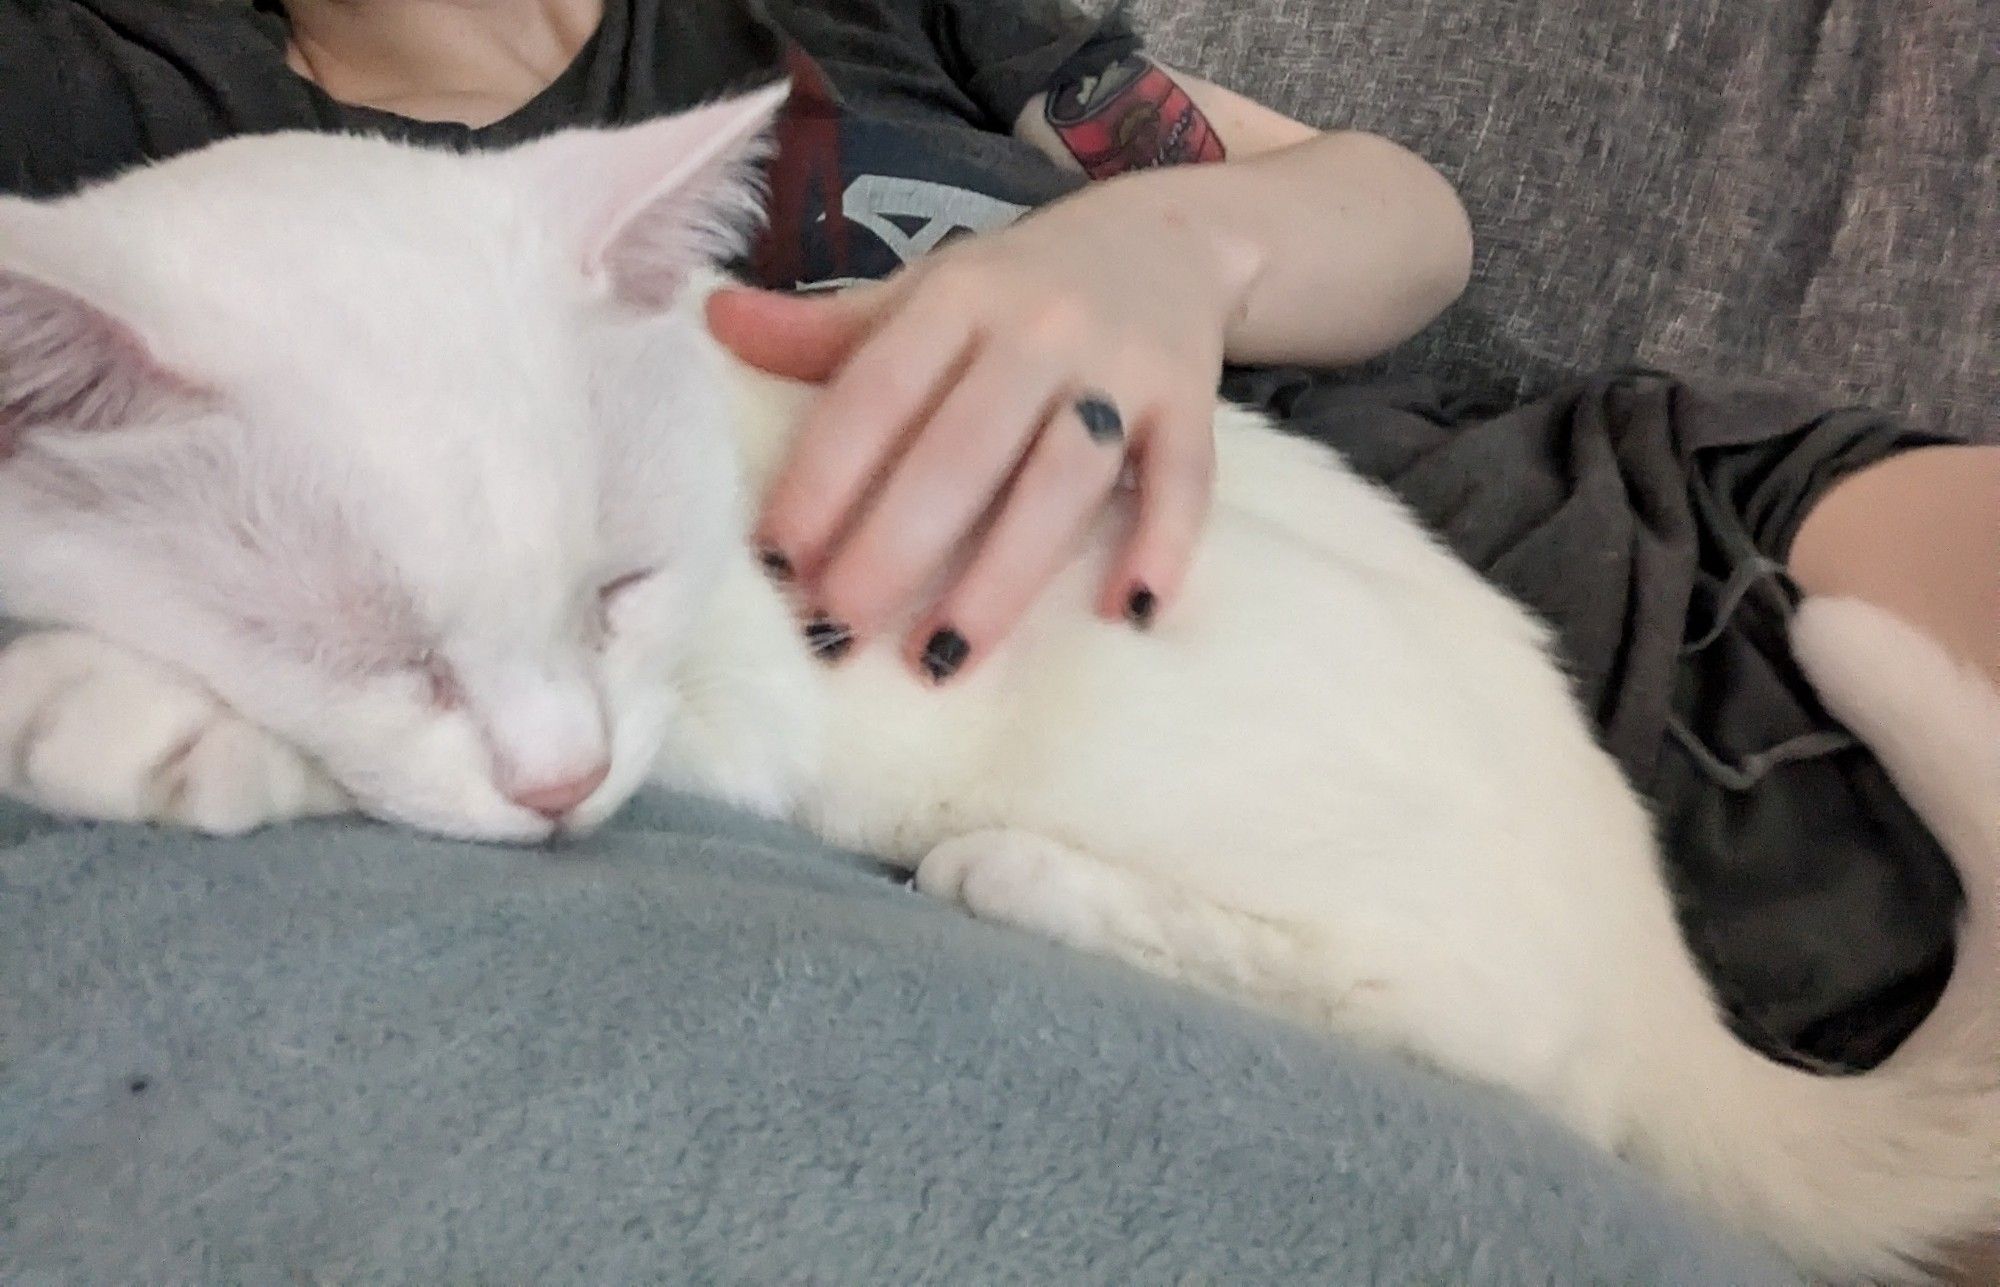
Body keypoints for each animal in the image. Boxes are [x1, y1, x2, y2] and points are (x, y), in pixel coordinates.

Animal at [0, 87, 1992, 1279]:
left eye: (618, 588)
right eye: (375, 641)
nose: (559, 787)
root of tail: (1665, 949)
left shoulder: (731, 698)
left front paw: (134, 710)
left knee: (1504, 1047)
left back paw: (1027, 880)